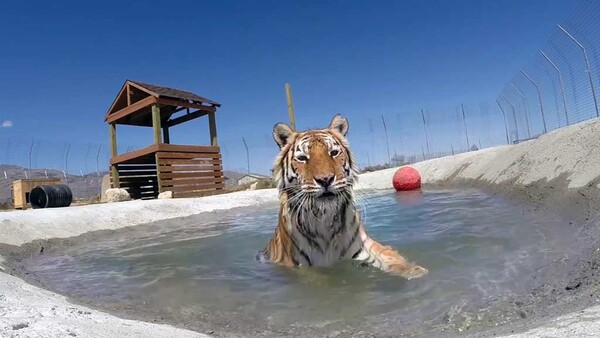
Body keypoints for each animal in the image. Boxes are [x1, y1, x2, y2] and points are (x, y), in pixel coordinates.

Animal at [260, 114, 428, 280]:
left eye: (334, 153)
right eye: (302, 158)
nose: (325, 179)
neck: (324, 220)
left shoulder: (365, 246)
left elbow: (390, 257)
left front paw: (415, 271)